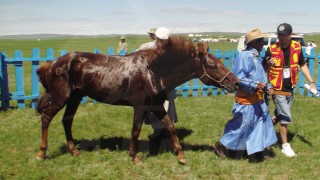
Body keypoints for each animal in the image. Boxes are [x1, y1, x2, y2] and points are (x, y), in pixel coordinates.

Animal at [36, 36, 239, 165]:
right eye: (213, 65)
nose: (236, 83)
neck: (154, 71)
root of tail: (52, 64)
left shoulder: (156, 105)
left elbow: (170, 126)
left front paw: (181, 155)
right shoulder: (140, 105)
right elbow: (136, 130)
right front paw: (134, 157)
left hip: (75, 97)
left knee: (66, 121)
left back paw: (74, 150)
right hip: (60, 97)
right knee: (46, 117)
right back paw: (42, 152)